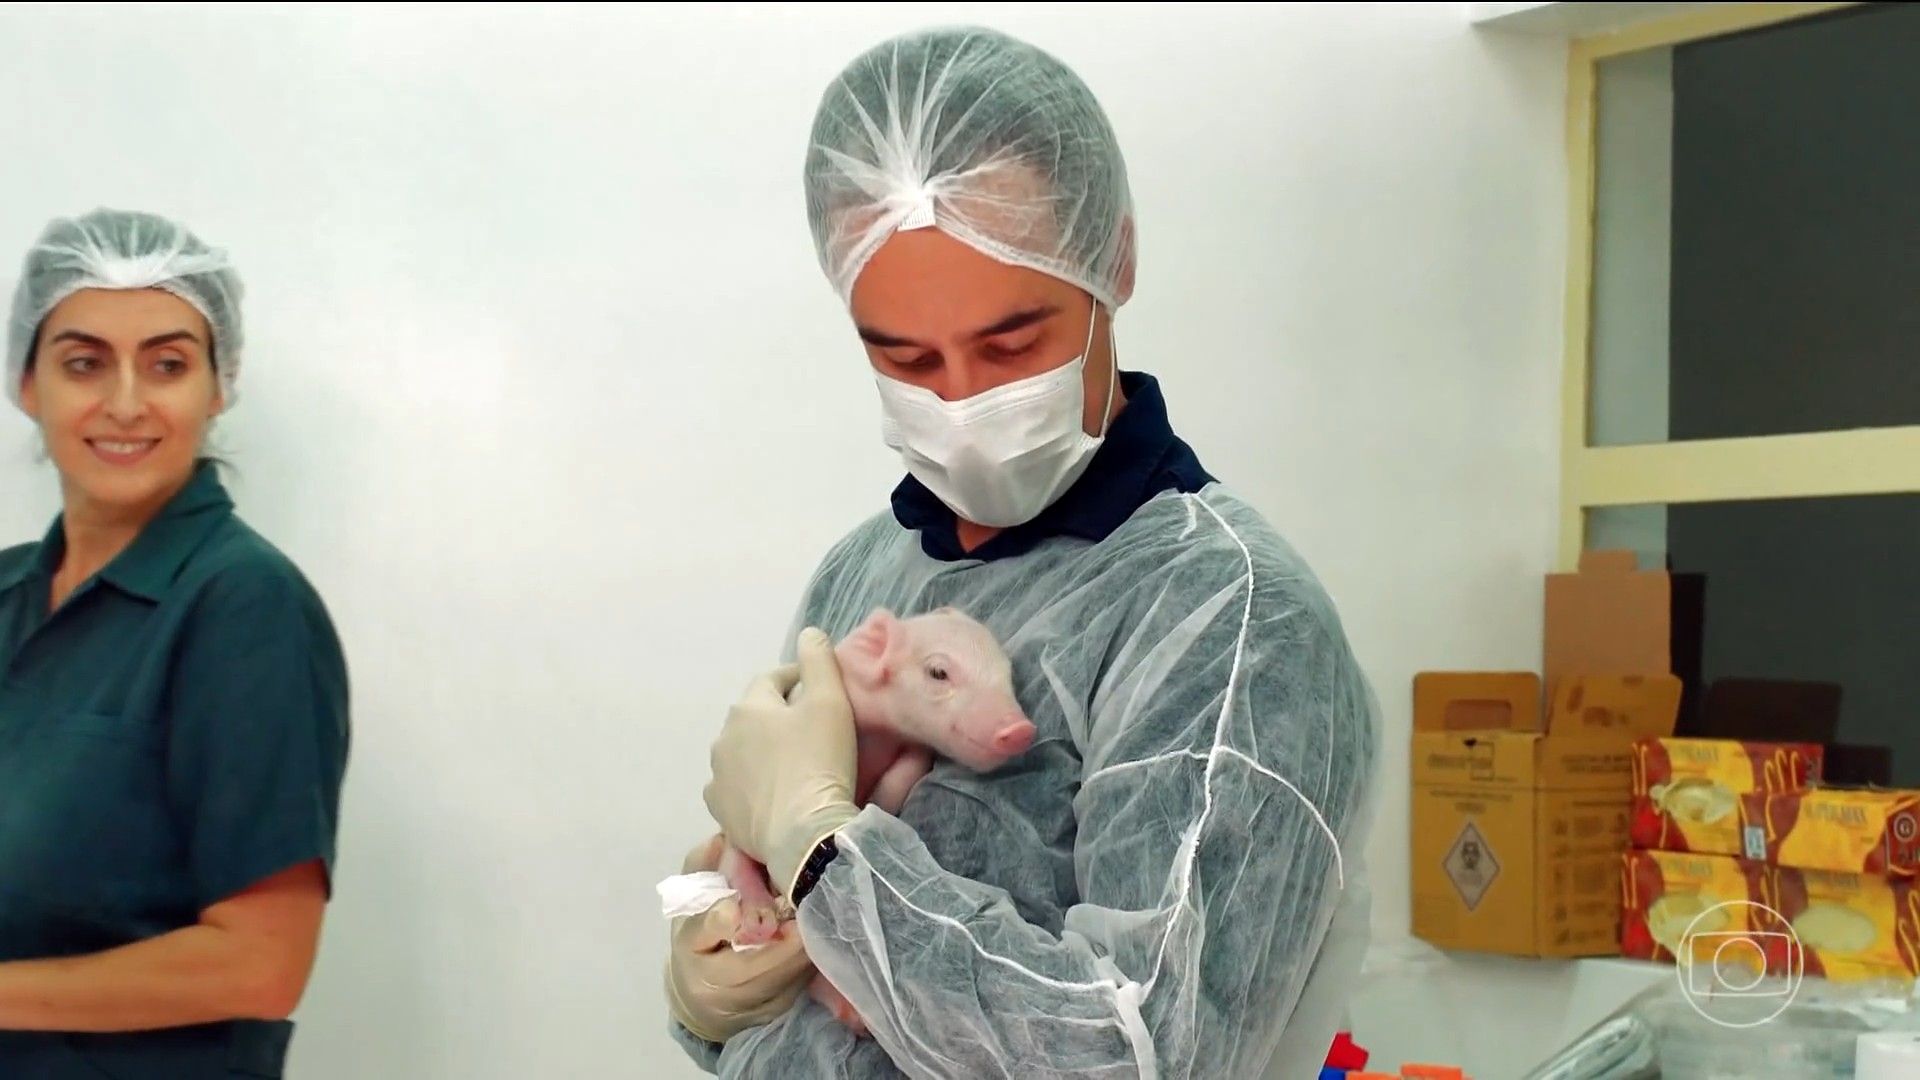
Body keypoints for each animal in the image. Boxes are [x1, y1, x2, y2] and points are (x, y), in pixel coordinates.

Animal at [716, 605, 1036, 1037]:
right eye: (938, 672)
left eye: (1007, 673)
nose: (1022, 730)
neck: (882, 729)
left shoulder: (914, 748)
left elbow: (906, 769)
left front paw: (876, 805)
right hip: (734, 835)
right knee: (737, 867)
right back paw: (759, 924)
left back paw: (854, 1016)